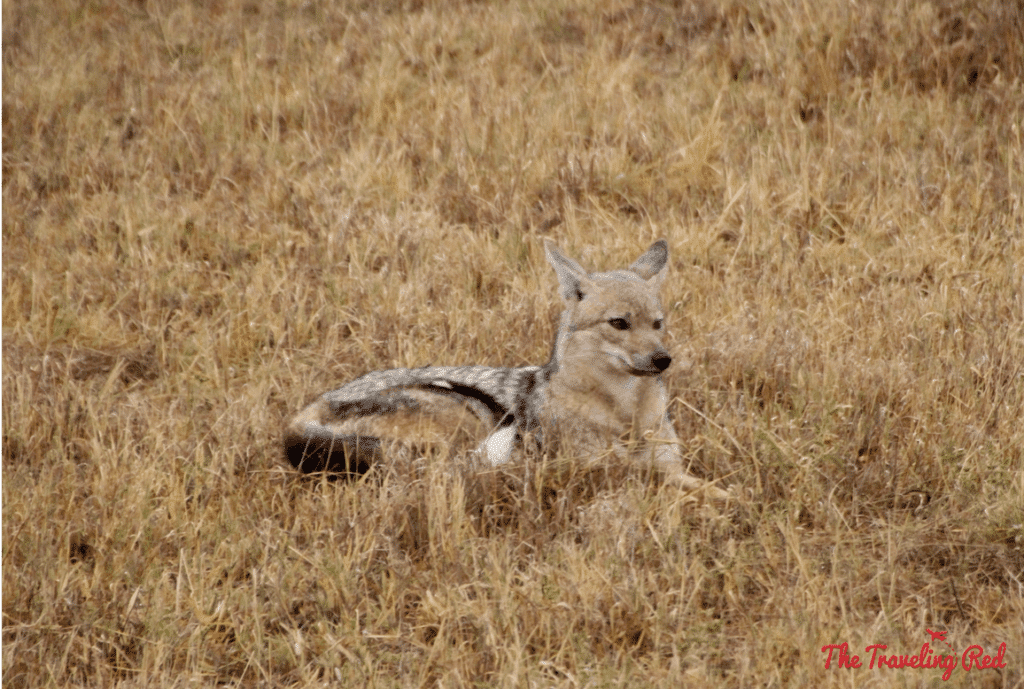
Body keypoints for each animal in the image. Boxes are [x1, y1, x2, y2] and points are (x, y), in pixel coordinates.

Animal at [284, 239, 728, 499]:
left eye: (658, 323)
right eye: (619, 323)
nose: (663, 359)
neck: (626, 414)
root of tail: (297, 421)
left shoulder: (666, 462)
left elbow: (692, 479)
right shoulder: (606, 469)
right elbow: (686, 485)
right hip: (468, 414)